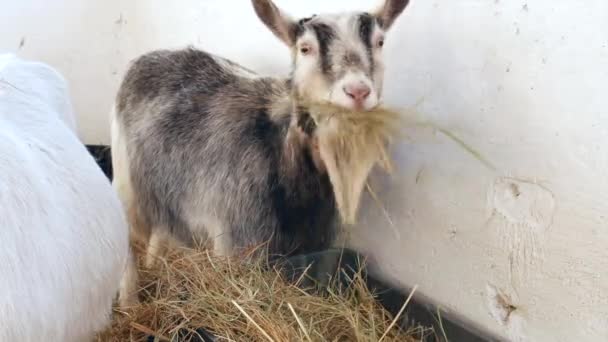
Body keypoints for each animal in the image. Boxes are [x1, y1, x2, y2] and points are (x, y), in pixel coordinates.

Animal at [113, 0, 408, 306]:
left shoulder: (311, 242)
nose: (357, 92)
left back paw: (152, 264)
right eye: (305, 48)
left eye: (380, 42)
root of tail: (152, 56)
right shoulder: (233, 243)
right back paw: (130, 303)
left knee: (162, 224)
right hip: (125, 182)